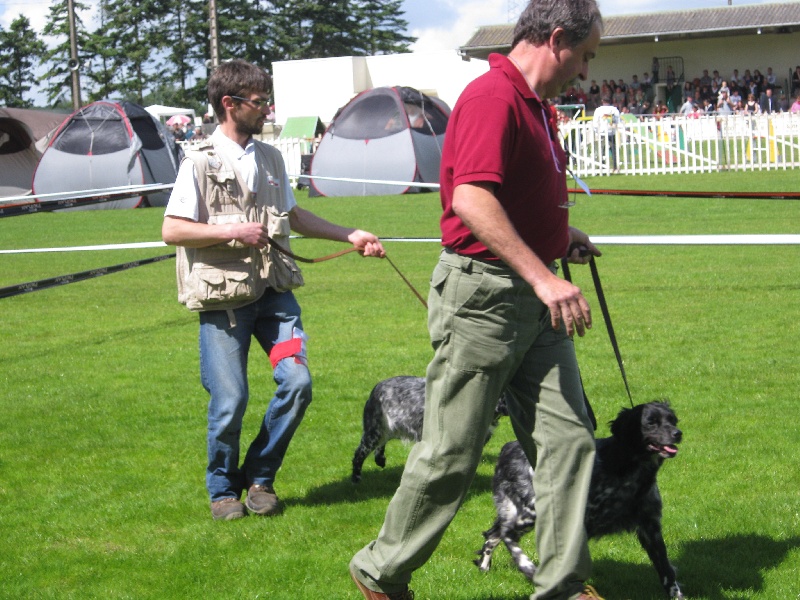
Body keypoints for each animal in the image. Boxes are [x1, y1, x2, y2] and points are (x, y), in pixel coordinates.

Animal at [474, 401, 685, 599]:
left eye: (672, 419)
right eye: (651, 422)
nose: (678, 433)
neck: (627, 467)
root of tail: (508, 448)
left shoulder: (651, 526)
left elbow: (666, 569)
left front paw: (677, 595)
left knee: (493, 533)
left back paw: (484, 567)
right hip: (530, 512)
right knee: (507, 534)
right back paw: (526, 566)